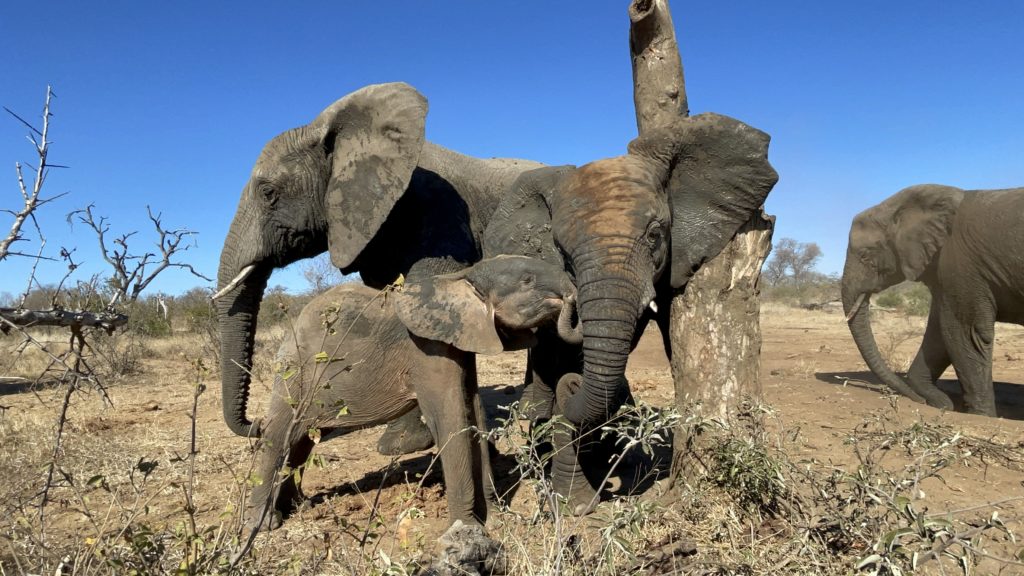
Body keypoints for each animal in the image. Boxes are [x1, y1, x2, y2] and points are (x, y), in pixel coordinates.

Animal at [246, 255, 581, 530]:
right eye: (527, 281)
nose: (571, 297)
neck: (461, 277)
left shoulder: (460, 341)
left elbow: (474, 414)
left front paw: (496, 520)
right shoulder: (426, 348)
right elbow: (450, 420)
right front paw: (466, 530)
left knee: (301, 441)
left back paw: (297, 507)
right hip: (293, 374)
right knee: (280, 436)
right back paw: (264, 525)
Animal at [841, 184, 1024, 417]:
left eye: (865, 255)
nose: (920, 401)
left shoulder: (961, 262)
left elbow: (966, 332)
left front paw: (983, 415)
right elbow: (939, 333)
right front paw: (938, 399)